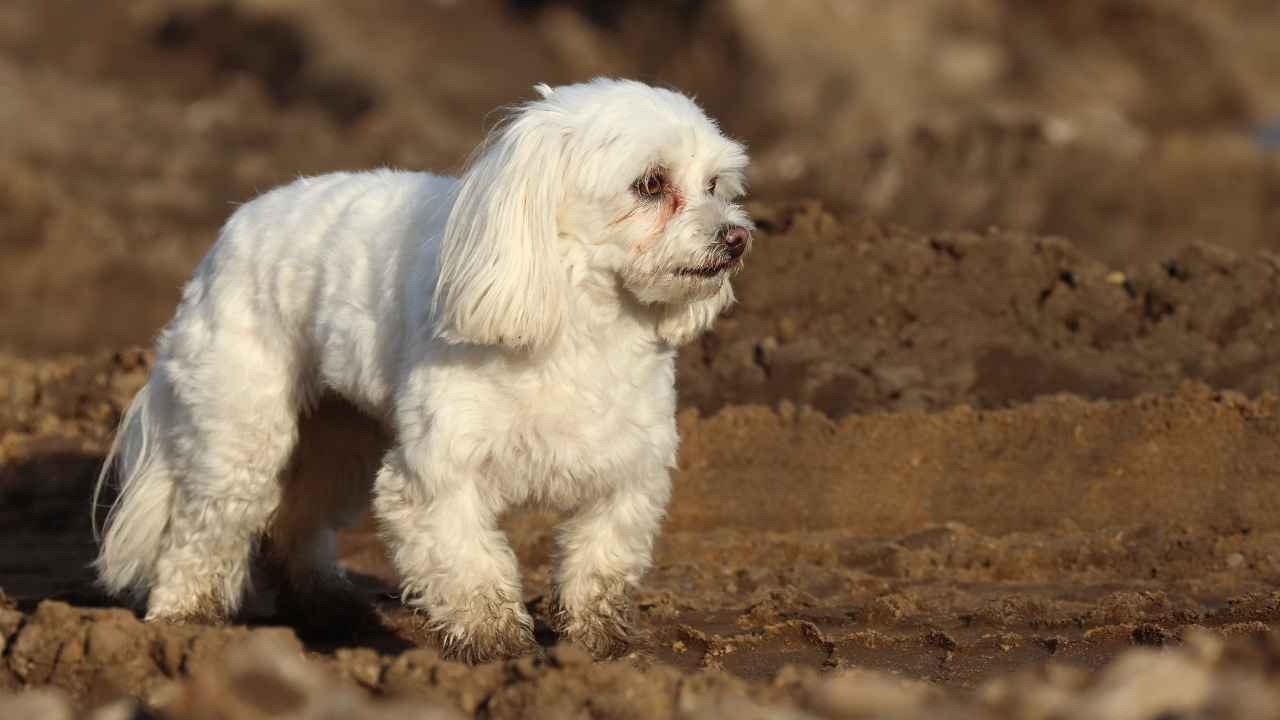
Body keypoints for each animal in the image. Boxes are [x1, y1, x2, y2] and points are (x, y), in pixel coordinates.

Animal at [94, 78, 752, 661]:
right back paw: (182, 618)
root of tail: (227, 232)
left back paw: (327, 604)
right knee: (204, 528)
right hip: (242, 432)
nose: (737, 237)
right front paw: (496, 645)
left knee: (298, 520)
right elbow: (471, 565)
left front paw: (597, 644)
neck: (580, 323)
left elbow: (601, 565)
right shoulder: (436, 479)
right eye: (651, 183)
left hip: (340, 435)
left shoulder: (626, 475)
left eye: (715, 184)